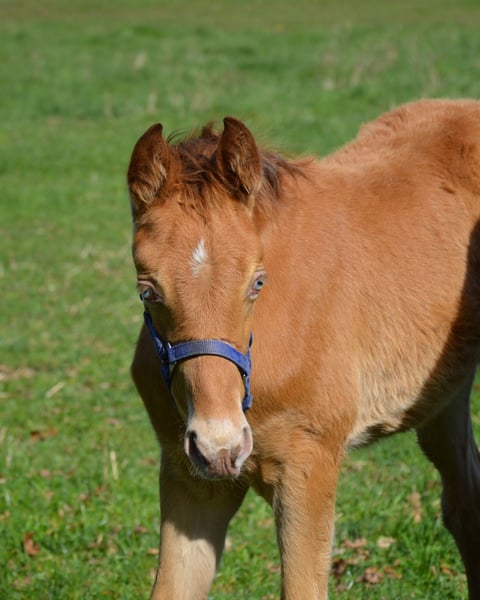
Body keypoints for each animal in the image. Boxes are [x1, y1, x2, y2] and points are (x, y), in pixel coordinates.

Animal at [127, 99, 480, 599]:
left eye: (257, 282)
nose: (221, 447)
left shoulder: (309, 466)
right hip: (442, 396)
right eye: (147, 291)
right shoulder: (190, 479)